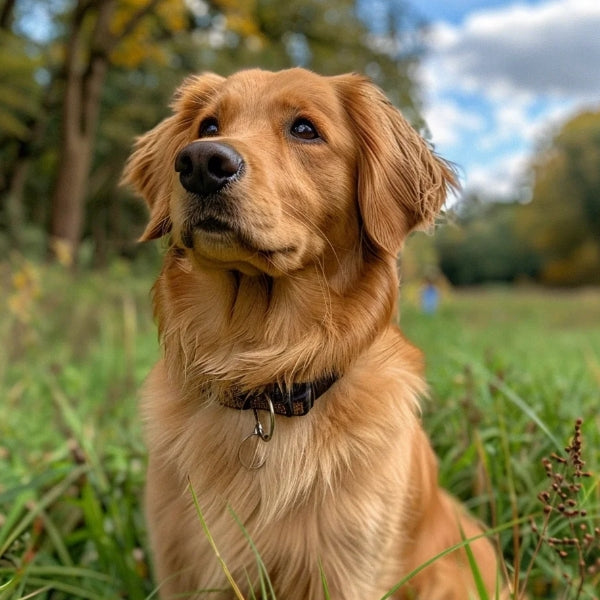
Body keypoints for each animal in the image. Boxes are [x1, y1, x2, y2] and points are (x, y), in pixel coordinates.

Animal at [124, 68, 504, 596]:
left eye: (305, 129)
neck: (262, 383)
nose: (200, 163)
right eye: (208, 125)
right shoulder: (177, 562)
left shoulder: (346, 570)